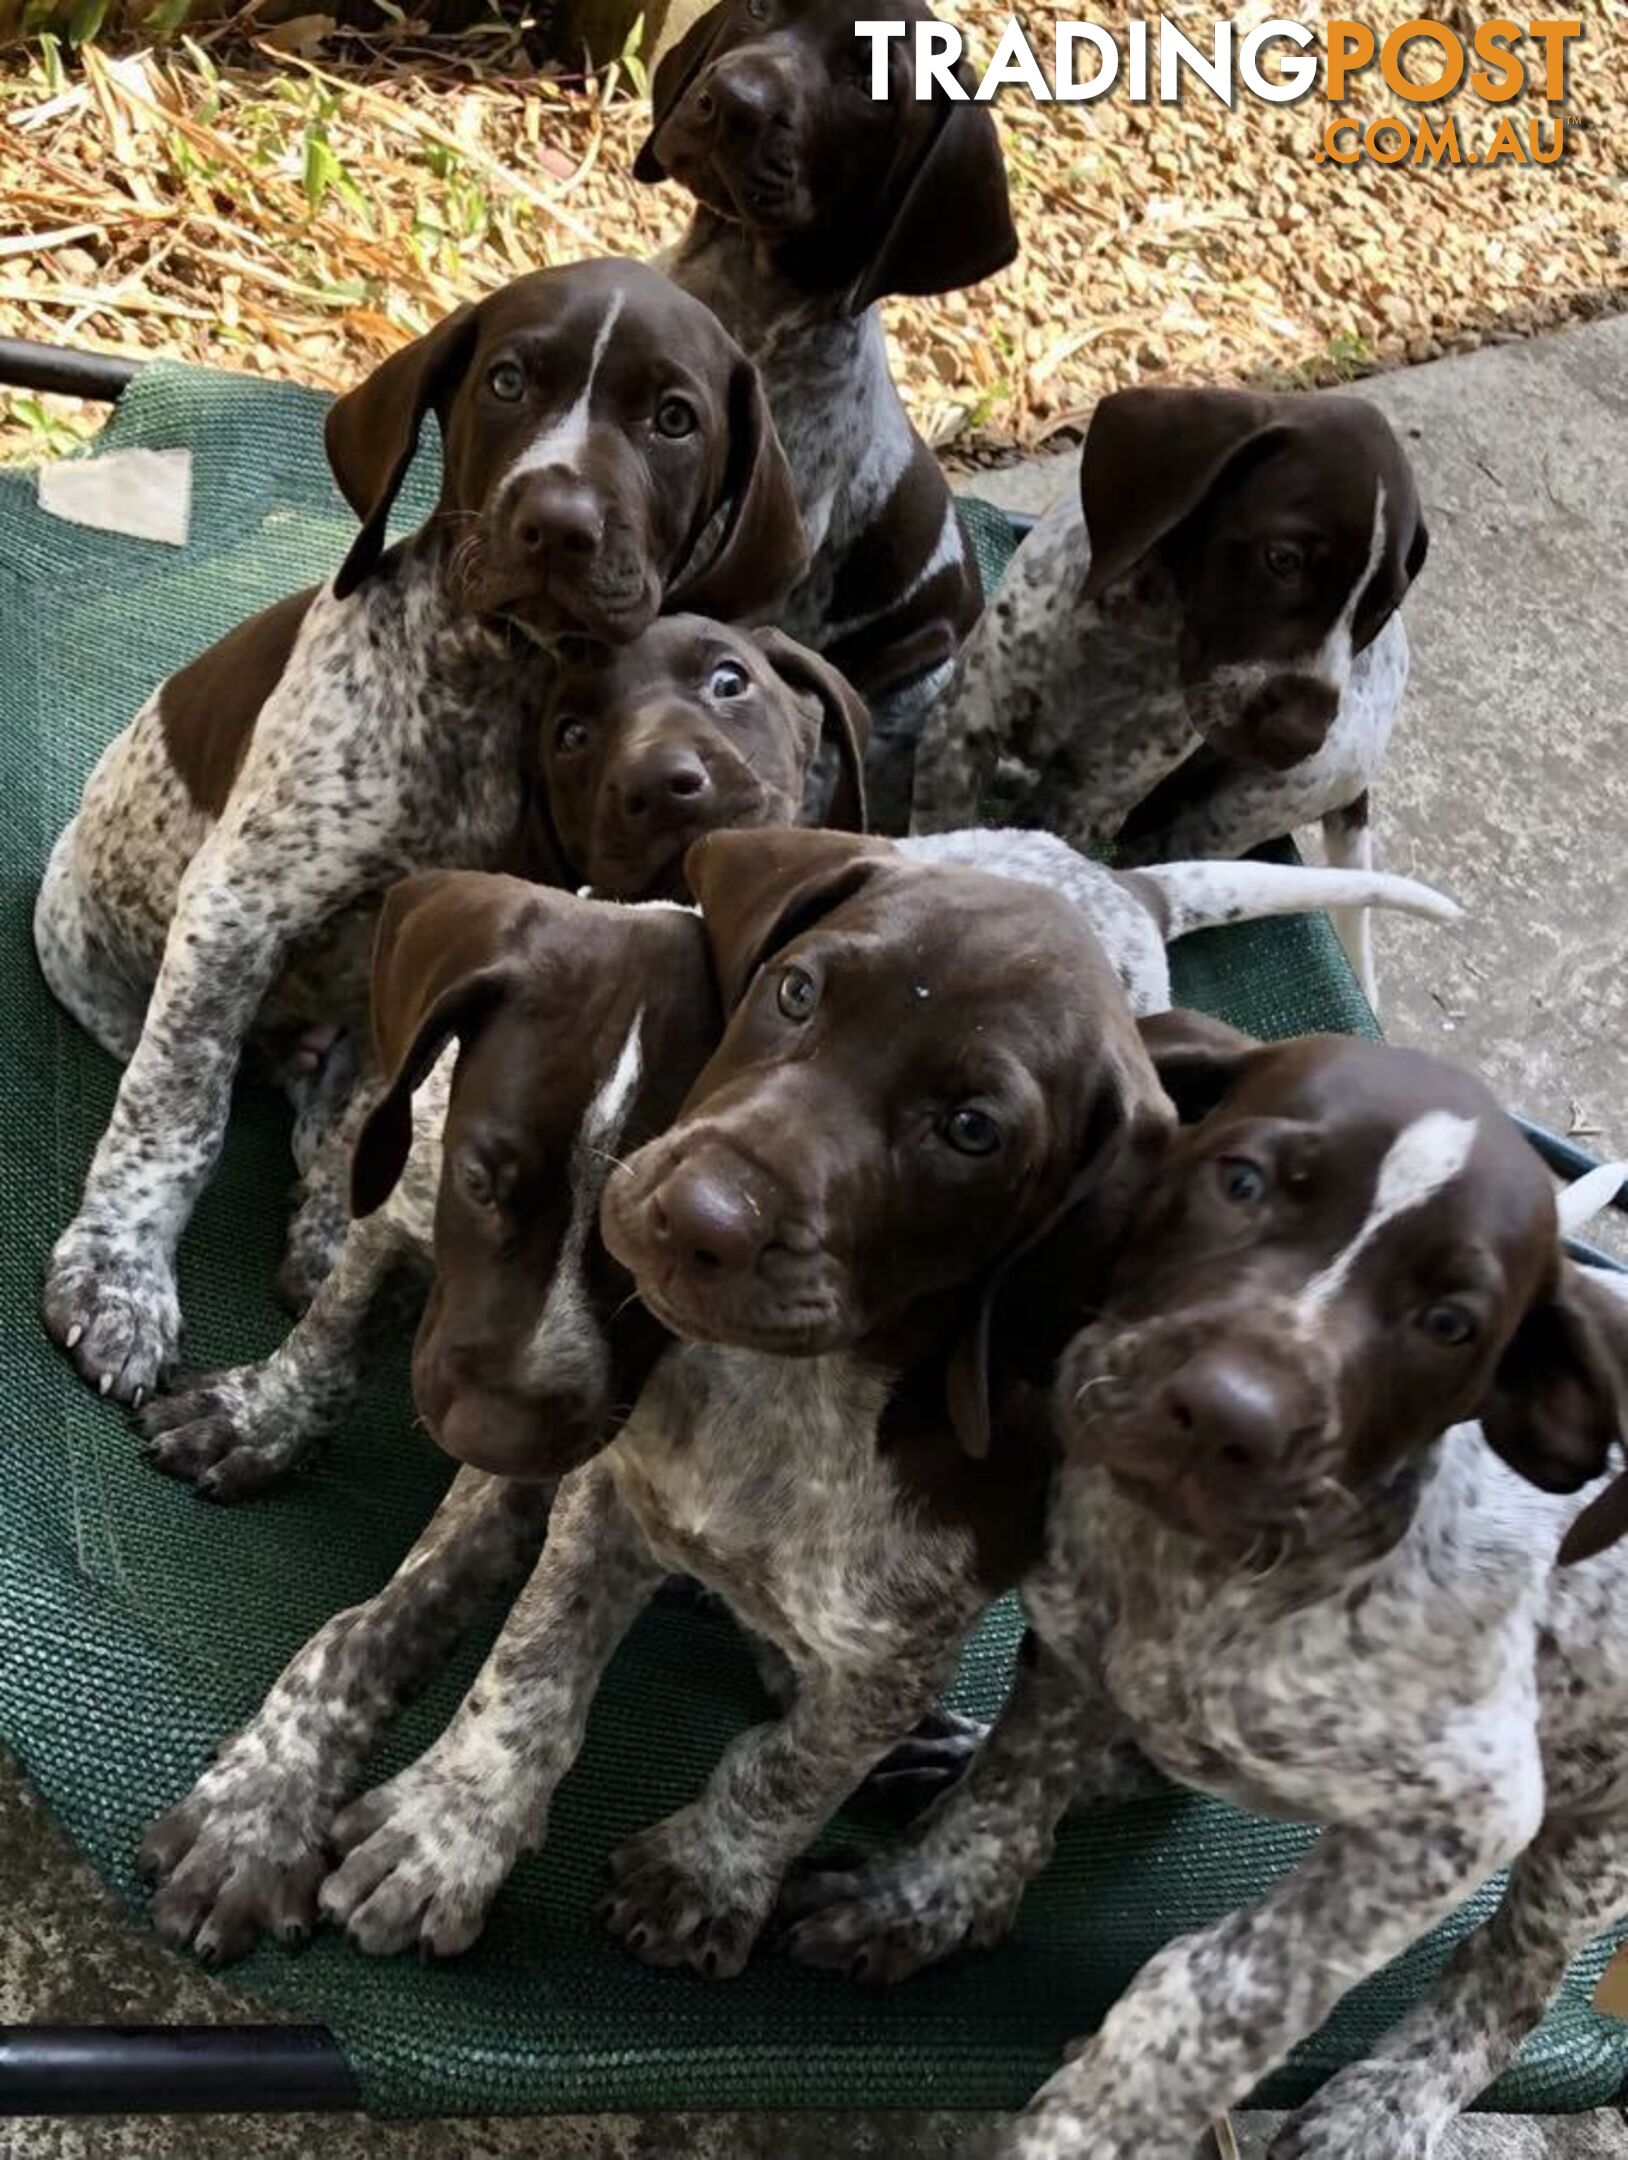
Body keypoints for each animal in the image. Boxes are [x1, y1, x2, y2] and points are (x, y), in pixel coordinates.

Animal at [136, 864, 721, 1503]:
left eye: (683, 1254)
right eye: (476, 1182)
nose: (491, 1438)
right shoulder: (399, 1206)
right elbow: (336, 1323)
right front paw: (263, 1417)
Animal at [777, 1019, 1628, 2160]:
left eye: (1450, 1323)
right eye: (1242, 1181)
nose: (1231, 1415)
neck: (1198, 1579)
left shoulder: (1457, 1814)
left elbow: (1213, 1998)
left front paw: (1097, 2122)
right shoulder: (1078, 1637)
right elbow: (1013, 1784)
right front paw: (923, 1894)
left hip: (1591, 1832)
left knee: (1512, 1976)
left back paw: (1389, 2101)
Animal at [906, 382, 1425, 1002]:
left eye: (1381, 609)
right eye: (1282, 559)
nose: (1298, 740)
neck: (1132, 635)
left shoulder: (1087, 802)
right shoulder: (962, 726)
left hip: (1247, 807)